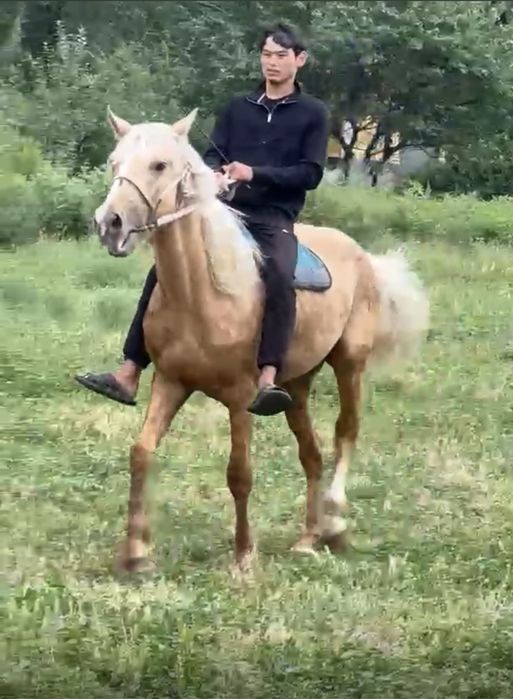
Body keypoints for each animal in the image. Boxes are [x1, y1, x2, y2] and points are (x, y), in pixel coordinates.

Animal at [91, 107, 429, 573]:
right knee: (312, 453)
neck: (206, 293)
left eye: (159, 165)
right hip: (296, 386)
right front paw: (136, 554)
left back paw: (335, 522)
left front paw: (244, 556)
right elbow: (141, 451)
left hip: (349, 364)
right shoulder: (170, 382)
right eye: (114, 163)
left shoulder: (240, 398)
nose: (110, 224)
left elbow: (239, 474)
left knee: (346, 432)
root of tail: (363, 256)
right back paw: (307, 537)